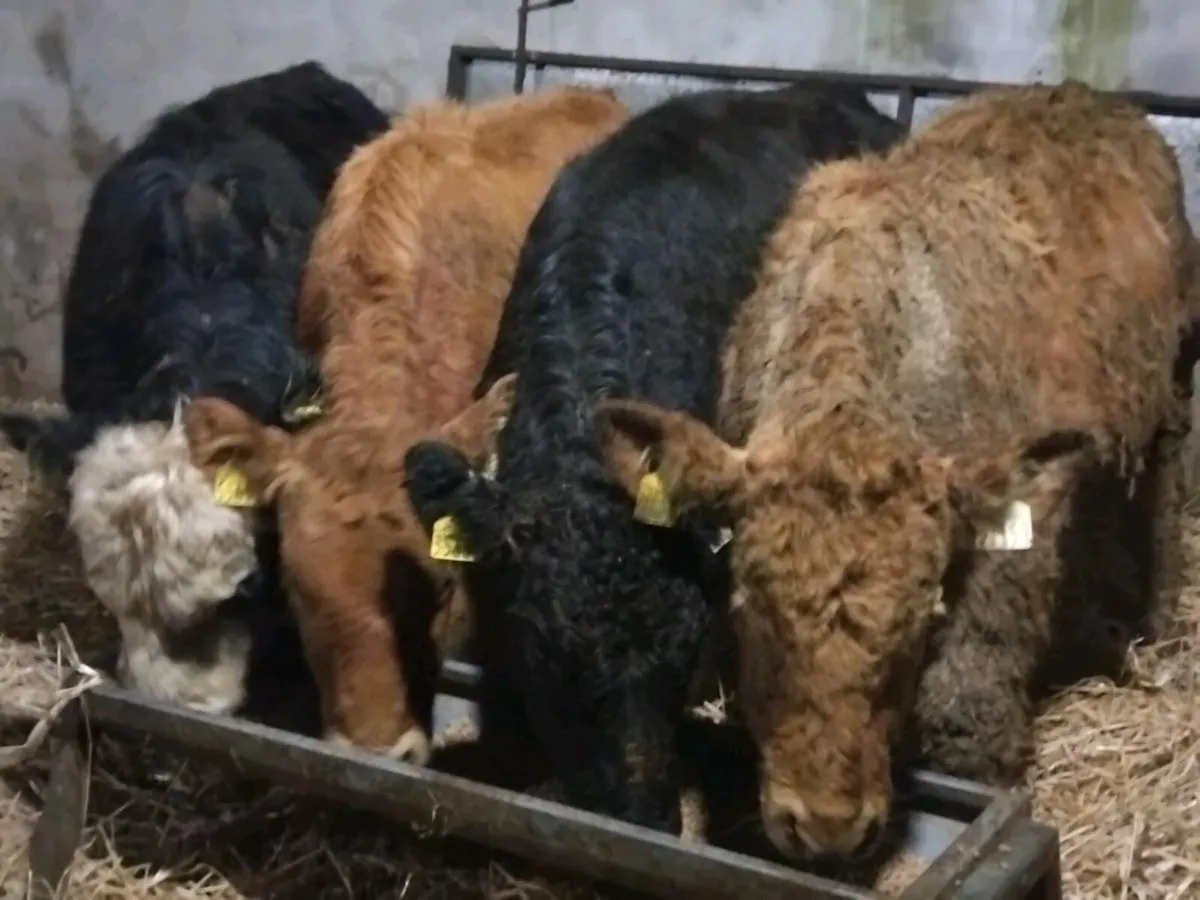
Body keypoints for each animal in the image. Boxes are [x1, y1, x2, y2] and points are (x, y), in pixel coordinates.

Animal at [589, 81, 1198, 857]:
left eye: (915, 629)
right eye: (753, 613)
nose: (828, 828)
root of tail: (1090, 97)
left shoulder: (1023, 500)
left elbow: (972, 672)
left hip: (1174, 384)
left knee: (1166, 497)